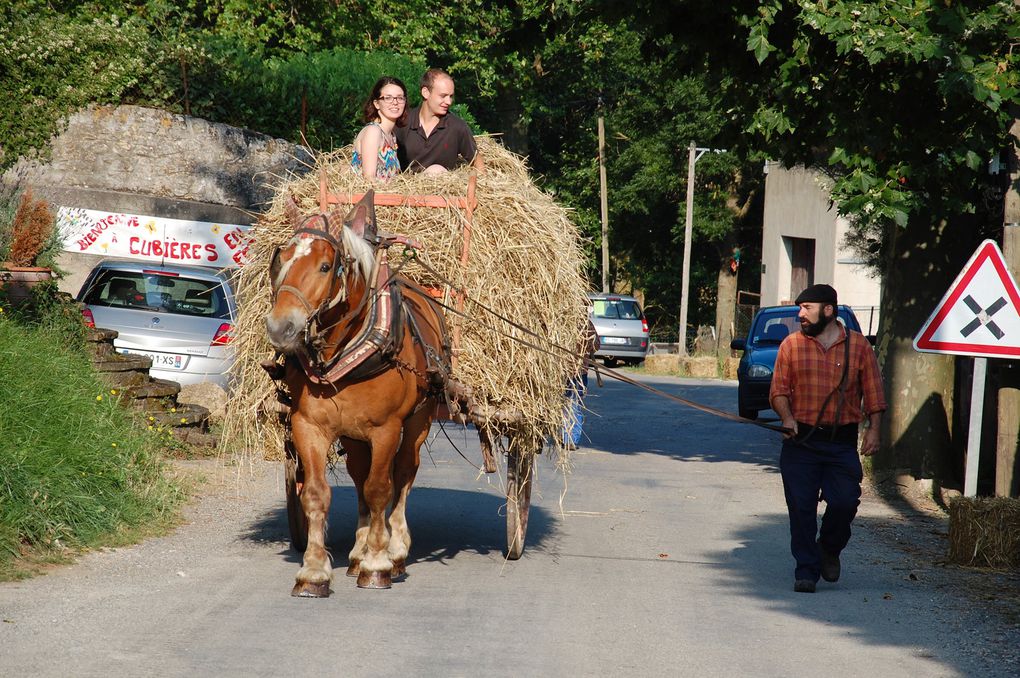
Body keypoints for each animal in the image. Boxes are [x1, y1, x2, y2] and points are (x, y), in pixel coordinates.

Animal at [265, 191, 448, 599]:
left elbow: (381, 489)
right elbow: (316, 494)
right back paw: (358, 550)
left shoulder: (386, 429)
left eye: (325, 266)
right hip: (353, 435)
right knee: (359, 475)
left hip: (418, 421)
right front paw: (314, 571)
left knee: (404, 474)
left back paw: (394, 551)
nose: (281, 327)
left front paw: (378, 563)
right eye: (280, 260)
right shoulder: (308, 426)